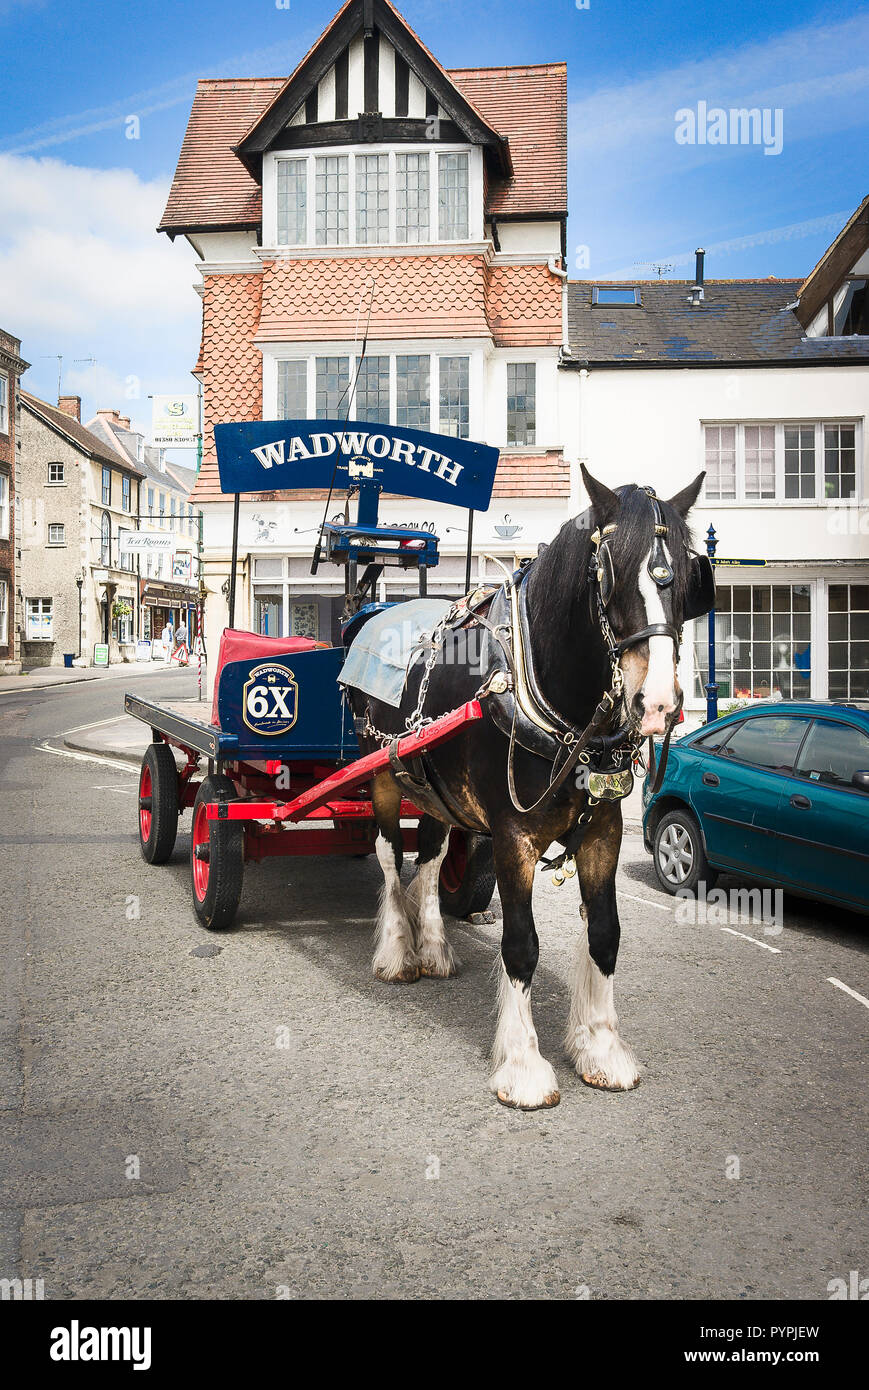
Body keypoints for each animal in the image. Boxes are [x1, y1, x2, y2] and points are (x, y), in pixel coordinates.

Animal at [347, 465, 713, 1110]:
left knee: (432, 855)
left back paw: (434, 947)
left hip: (436, 788)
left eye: (690, 578)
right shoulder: (513, 835)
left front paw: (601, 1048)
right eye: (609, 571)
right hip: (384, 772)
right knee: (391, 858)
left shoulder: (604, 830)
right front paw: (522, 1066)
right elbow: (521, 944)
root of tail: (376, 612)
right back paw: (396, 950)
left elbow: (605, 935)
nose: (658, 704)